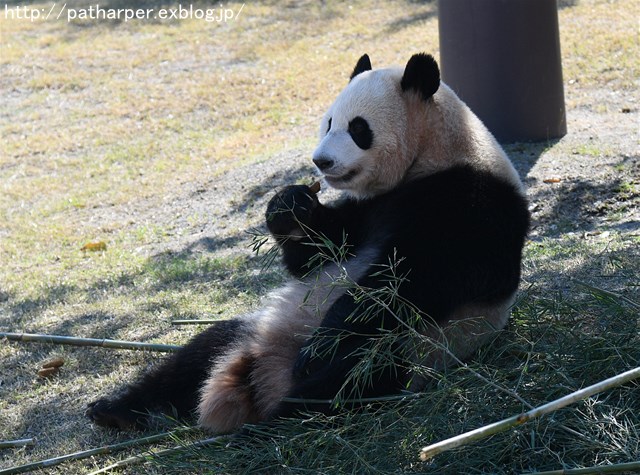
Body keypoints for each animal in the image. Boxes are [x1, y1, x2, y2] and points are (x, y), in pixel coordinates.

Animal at [87, 54, 532, 434]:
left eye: (358, 128)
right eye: (329, 122)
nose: (321, 162)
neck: (434, 154)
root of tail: (262, 376)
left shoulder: (468, 204)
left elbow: (409, 281)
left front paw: (327, 338)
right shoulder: (367, 208)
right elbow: (317, 255)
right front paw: (289, 206)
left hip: (415, 349)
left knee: (344, 382)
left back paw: (269, 424)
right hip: (259, 326)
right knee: (198, 354)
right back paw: (116, 410)